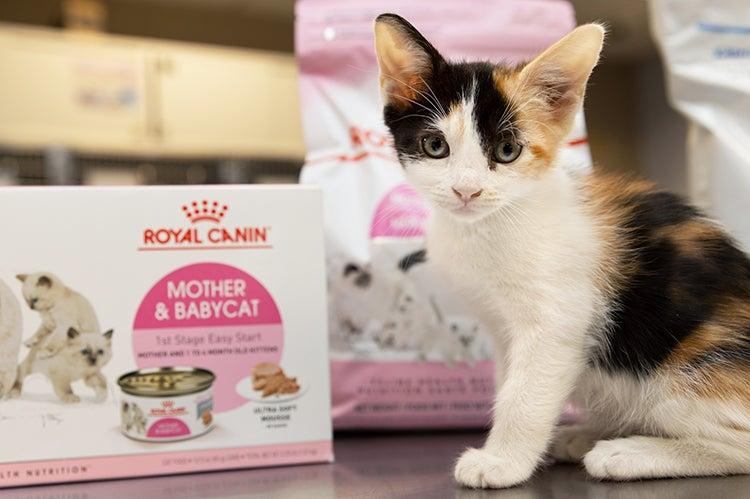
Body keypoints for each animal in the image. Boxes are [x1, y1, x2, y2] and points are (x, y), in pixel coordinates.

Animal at [374, 14, 750, 488]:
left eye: (507, 150)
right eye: (435, 146)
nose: (466, 191)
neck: (491, 226)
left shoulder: (556, 319)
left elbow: (526, 394)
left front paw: (502, 462)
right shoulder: (501, 328)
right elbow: (510, 382)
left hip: (688, 369)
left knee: (739, 443)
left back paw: (626, 452)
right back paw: (589, 434)